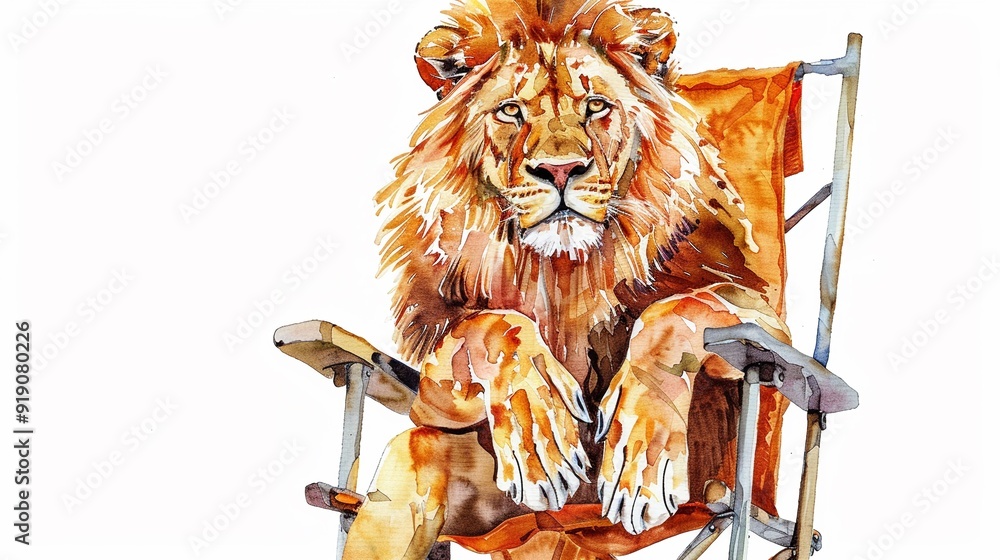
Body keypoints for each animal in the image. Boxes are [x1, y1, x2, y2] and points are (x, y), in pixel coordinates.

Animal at [346, 1, 792, 557]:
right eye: (511, 111)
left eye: (596, 106)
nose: (560, 171)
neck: (563, 273)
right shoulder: (434, 382)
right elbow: (493, 325)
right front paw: (539, 420)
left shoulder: (766, 317)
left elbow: (673, 311)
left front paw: (638, 454)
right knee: (411, 453)